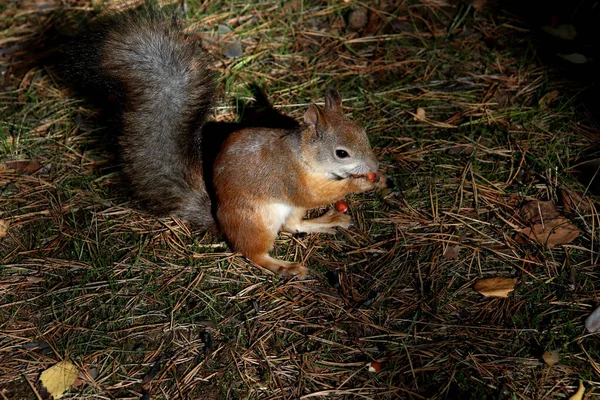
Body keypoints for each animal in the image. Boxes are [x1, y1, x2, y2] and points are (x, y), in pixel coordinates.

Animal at [64, 5, 384, 278]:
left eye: (363, 133)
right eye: (341, 153)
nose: (374, 166)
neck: (303, 155)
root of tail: (220, 220)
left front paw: (377, 179)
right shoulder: (292, 179)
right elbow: (315, 194)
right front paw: (362, 183)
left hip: (284, 212)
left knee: (294, 226)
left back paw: (326, 221)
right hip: (256, 221)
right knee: (252, 252)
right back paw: (284, 267)